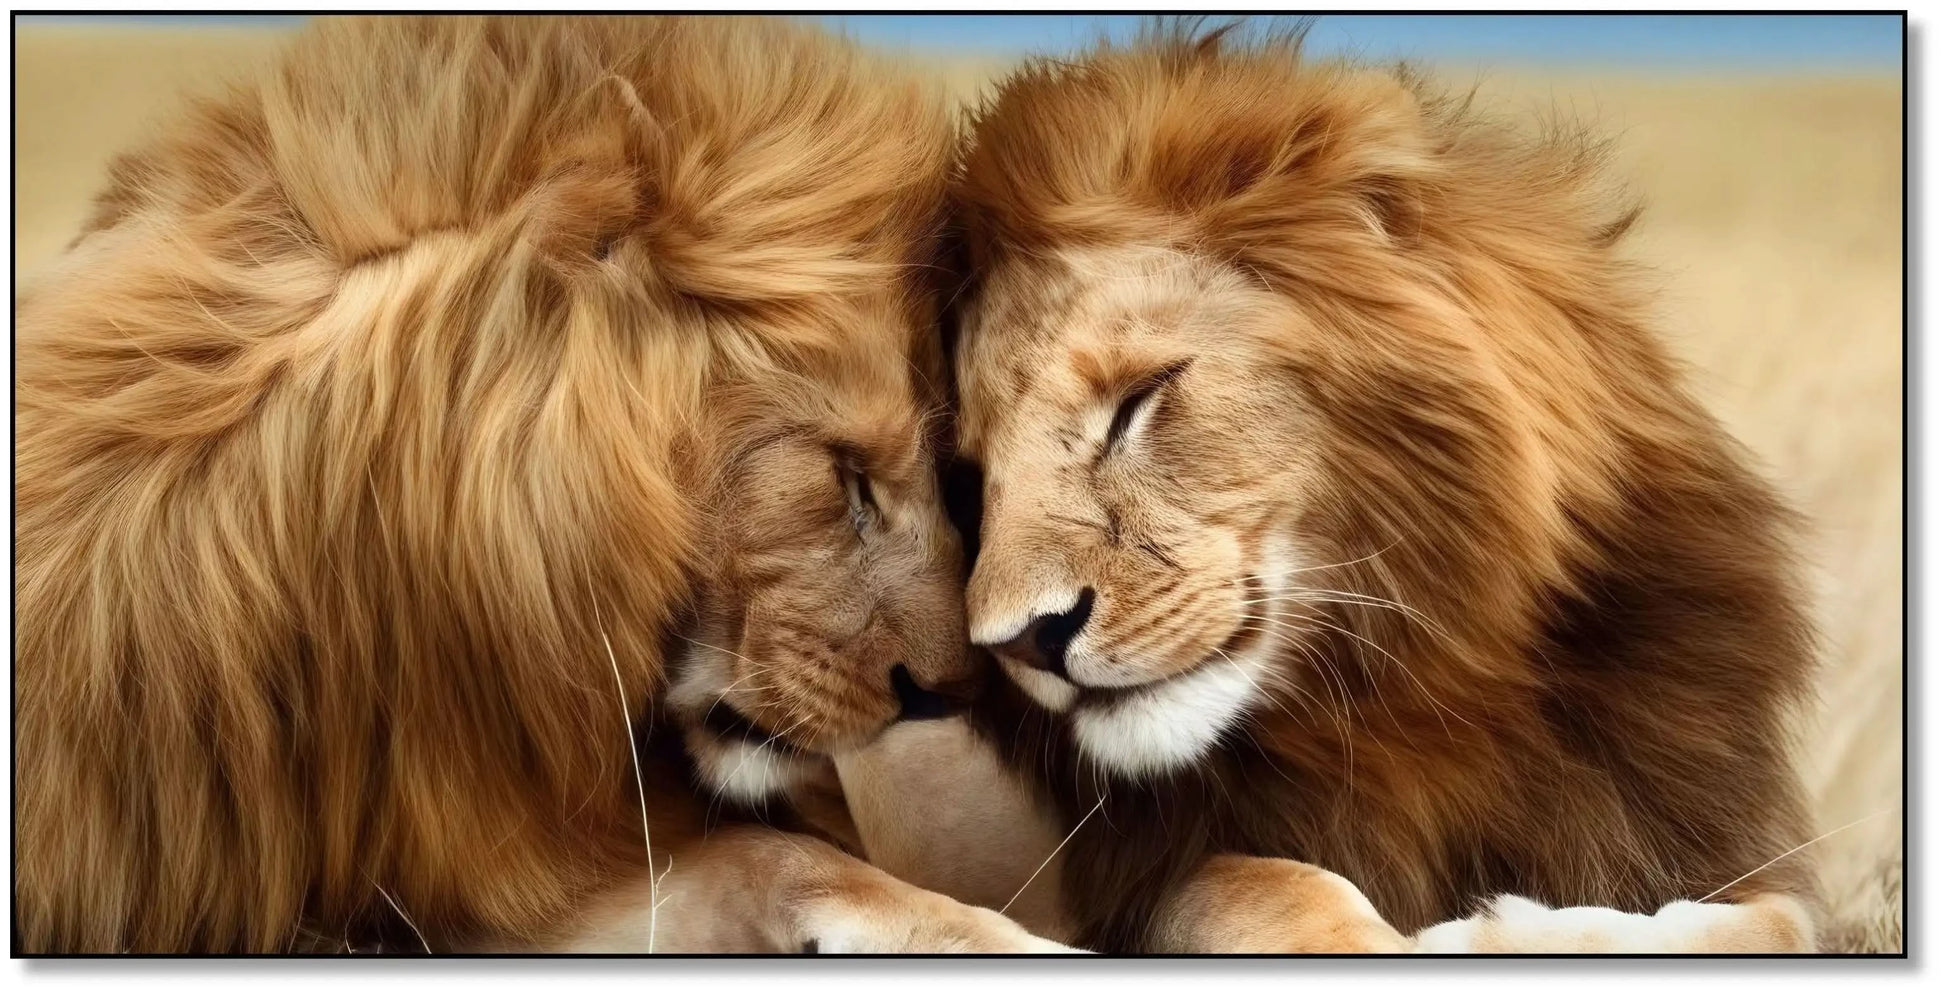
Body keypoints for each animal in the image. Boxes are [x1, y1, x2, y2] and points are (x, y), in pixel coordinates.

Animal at [934, 24, 1827, 953]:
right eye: (968, 482)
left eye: (1139, 399)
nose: (1023, 642)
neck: (1419, 698)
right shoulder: (1154, 883)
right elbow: (1262, 884)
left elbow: (1773, 919)